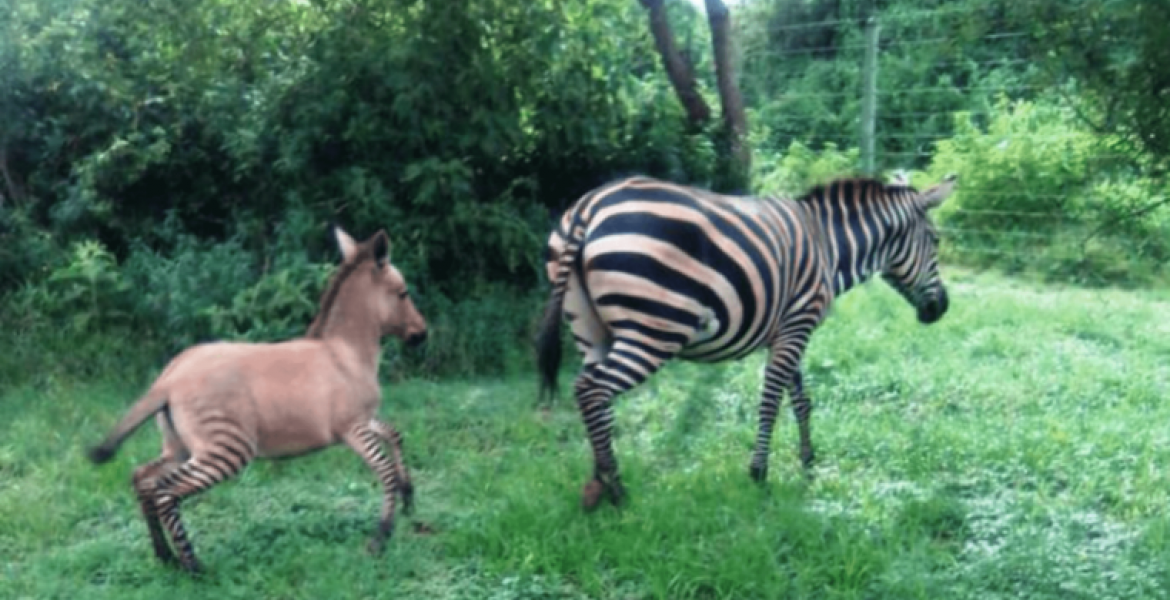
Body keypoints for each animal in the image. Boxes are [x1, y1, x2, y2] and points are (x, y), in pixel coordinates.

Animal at [535, 173, 958, 510]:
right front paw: (759, 473)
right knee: (592, 390)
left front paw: (808, 463)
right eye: (936, 241)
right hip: (654, 329)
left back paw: (597, 484)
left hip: (590, 330)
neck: (829, 246)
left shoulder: (788, 329)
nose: (941, 309)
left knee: (594, 398)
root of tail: (590, 205)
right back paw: (617, 490)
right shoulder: (797, 324)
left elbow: (801, 400)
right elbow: (771, 400)